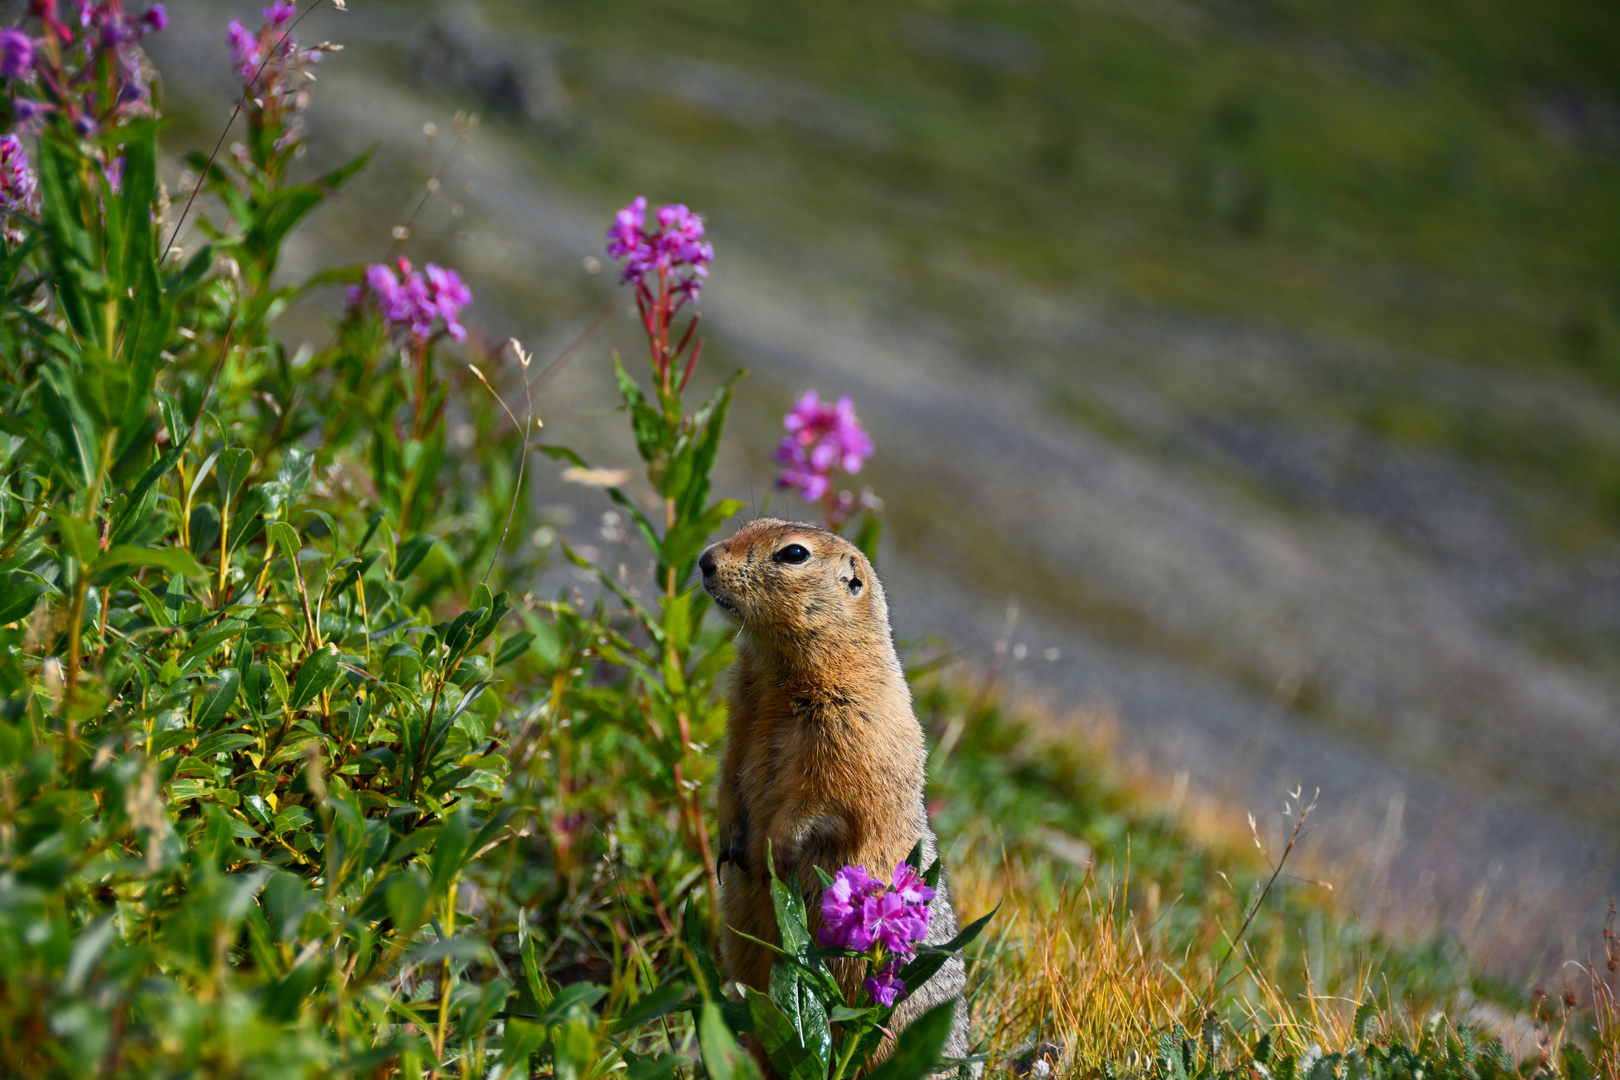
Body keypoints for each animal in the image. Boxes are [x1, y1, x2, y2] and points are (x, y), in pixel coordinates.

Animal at [693, 521, 965, 1062]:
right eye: (749, 526)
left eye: (794, 554)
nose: (705, 559)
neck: (777, 675)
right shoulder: (741, 708)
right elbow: (730, 769)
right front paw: (728, 840)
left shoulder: (852, 725)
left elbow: (822, 796)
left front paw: (777, 851)